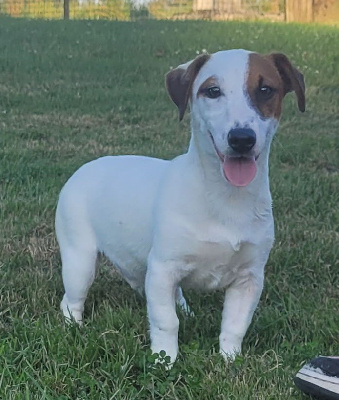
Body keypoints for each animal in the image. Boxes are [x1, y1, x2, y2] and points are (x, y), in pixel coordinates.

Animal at [55, 48, 306, 364]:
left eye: (265, 90)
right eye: (213, 91)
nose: (241, 139)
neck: (225, 199)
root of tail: (84, 168)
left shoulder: (249, 278)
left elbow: (236, 324)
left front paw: (230, 360)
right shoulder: (164, 267)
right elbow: (166, 321)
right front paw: (164, 360)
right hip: (80, 258)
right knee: (71, 298)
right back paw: (73, 326)